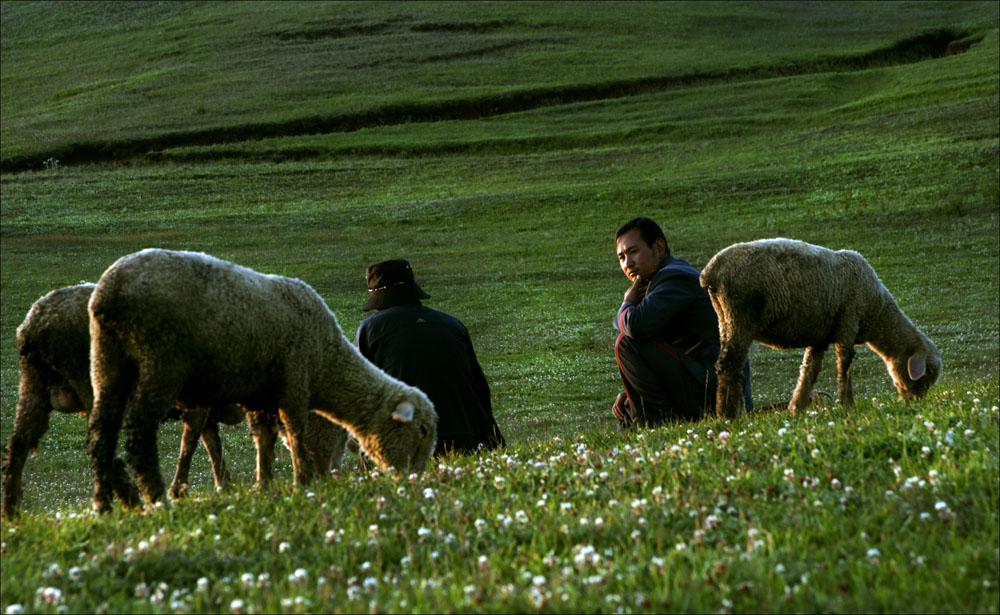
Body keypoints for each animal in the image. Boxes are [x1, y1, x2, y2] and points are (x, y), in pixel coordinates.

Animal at [88, 248, 440, 512]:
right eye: (422, 431)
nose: (414, 481)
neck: (326, 361)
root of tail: (108, 293)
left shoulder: (260, 398)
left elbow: (264, 442)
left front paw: (266, 487)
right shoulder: (293, 381)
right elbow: (296, 435)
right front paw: (303, 484)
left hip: (107, 363)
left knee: (99, 434)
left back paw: (105, 506)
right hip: (160, 359)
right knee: (138, 433)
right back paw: (157, 499)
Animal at [700, 238, 940, 422]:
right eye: (926, 373)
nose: (916, 403)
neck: (877, 309)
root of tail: (710, 273)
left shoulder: (821, 337)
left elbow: (809, 370)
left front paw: (797, 407)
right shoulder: (848, 321)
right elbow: (845, 366)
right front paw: (848, 406)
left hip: (725, 318)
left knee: (732, 366)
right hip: (739, 315)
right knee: (728, 365)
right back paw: (730, 415)